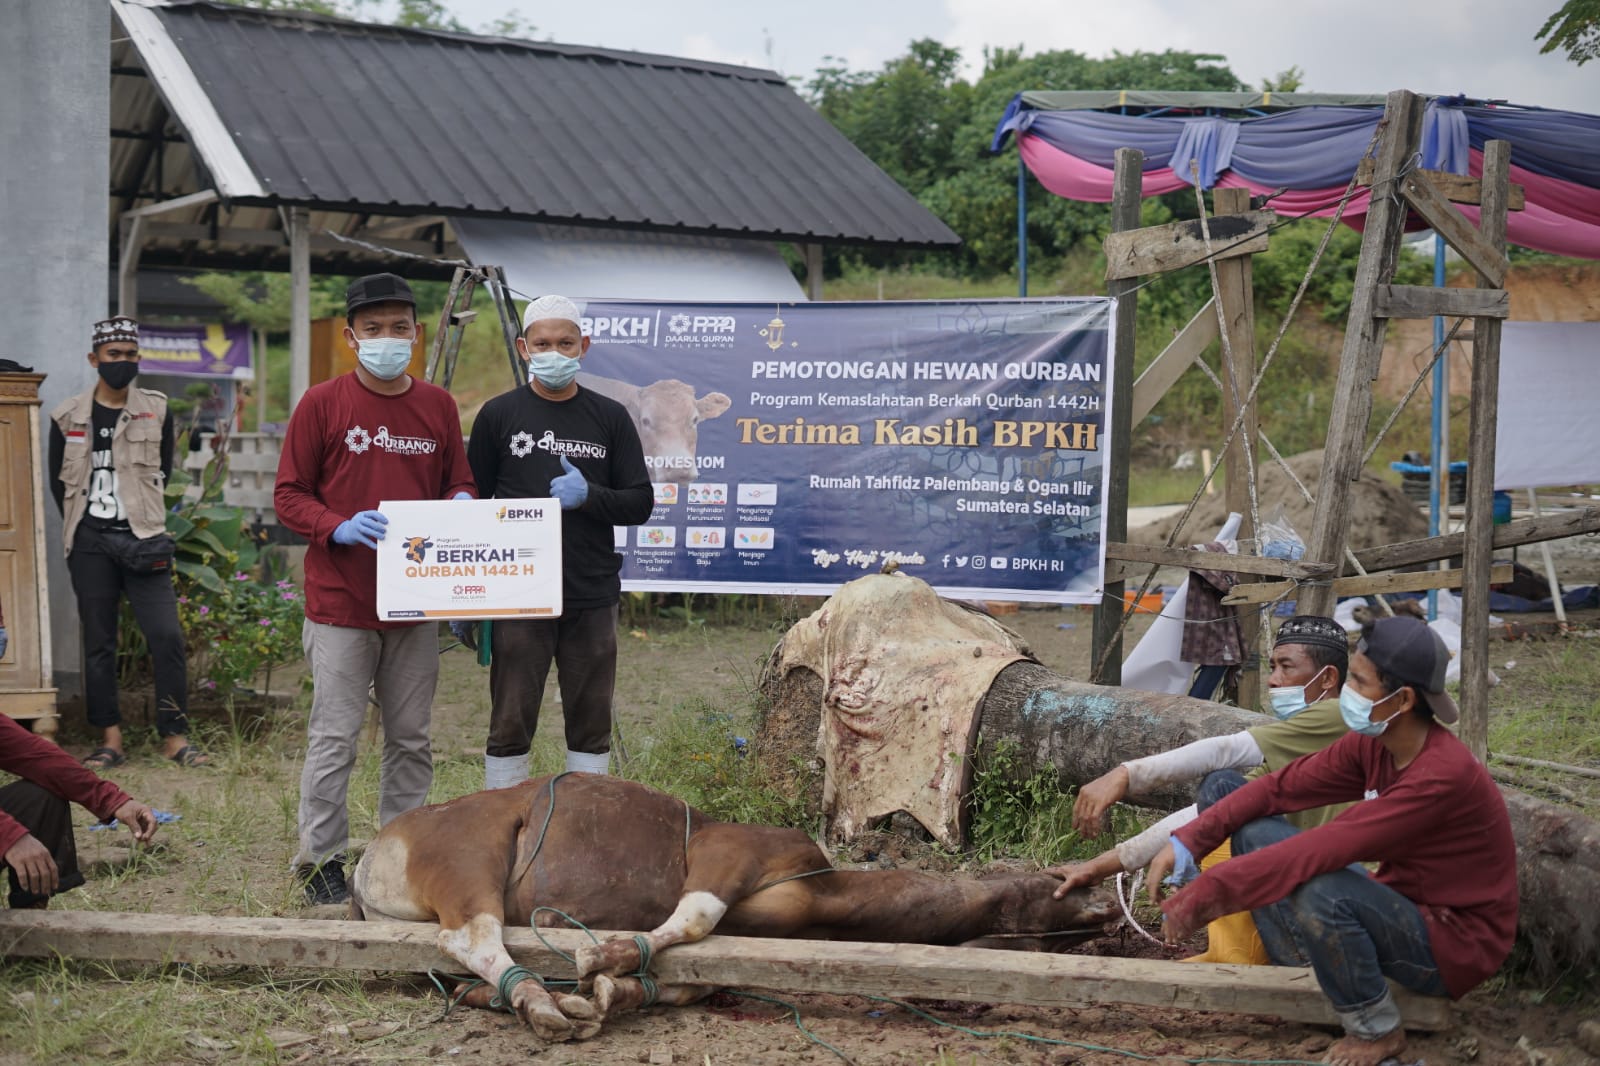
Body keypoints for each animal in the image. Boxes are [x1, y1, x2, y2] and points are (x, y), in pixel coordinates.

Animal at [350, 771, 1113, 1037]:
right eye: (1057, 889)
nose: (1105, 913)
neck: (823, 893)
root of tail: (371, 854)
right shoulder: (734, 852)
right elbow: (693, 918)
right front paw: (608, 956)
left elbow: (688, 984)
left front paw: (618, 990)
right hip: (469, 859)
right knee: (472, 937)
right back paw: (540, 1003)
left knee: (460, 967)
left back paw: (521, 998)